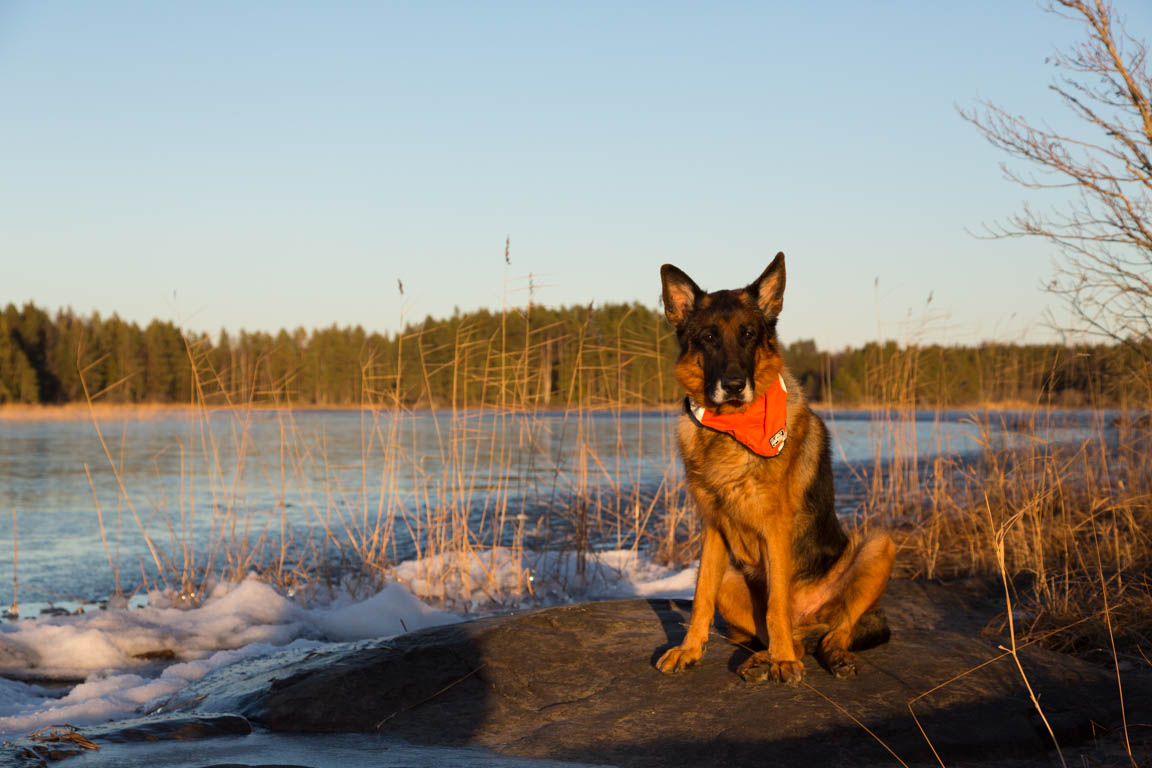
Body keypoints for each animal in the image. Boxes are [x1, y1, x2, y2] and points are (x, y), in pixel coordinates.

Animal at [658, 255, 889, 681]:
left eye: (749, 334)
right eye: (709, 337)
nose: (734, 385)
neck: (732, 430)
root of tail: (809, 618)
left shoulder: (775, 529)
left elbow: (778, 603)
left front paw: (782, 661)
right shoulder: (712, 530)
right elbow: (700, 599)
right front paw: (690, 649)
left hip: (879, 545)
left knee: (836, 629)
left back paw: (823, 654)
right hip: (732, 576)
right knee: (788, 634)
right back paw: (762, 658)